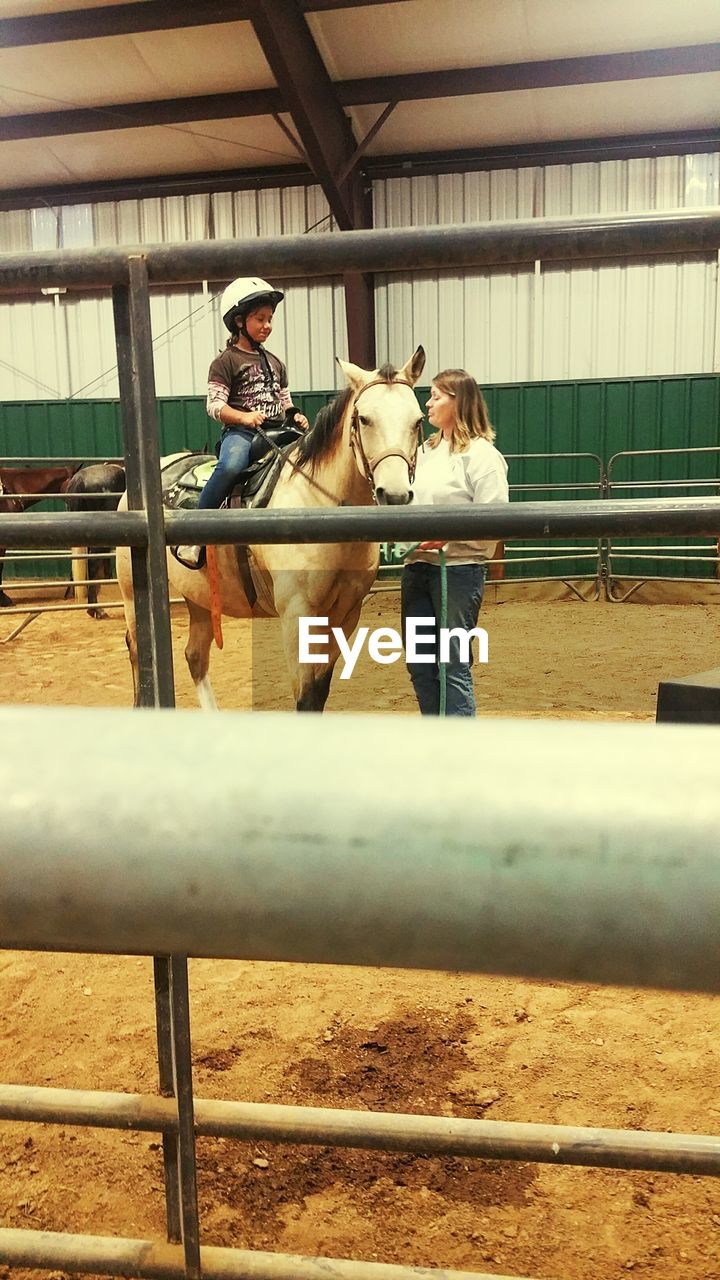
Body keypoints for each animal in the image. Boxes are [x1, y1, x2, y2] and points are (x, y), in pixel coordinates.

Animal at [114, 348, 422, 711]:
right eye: (364, 419)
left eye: (418, 420)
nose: (395, 495)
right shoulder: (296, 614)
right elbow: (306, 696)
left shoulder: (346, 614)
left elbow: (320, 692)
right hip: (133, 596)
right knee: (139, 654)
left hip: (198, 596)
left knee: (194, 656)